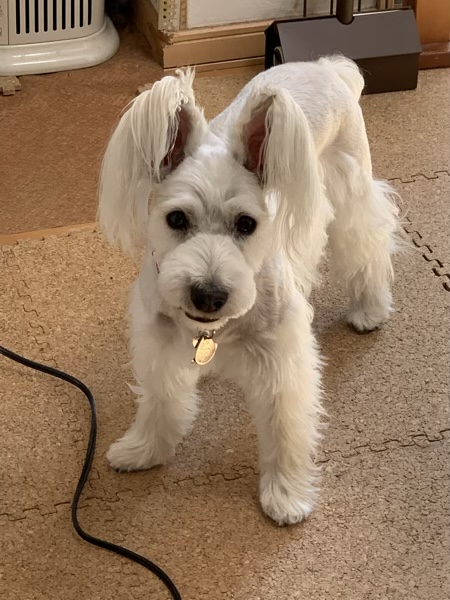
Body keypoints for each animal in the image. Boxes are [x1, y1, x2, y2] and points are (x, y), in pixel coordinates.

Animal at [98, 57, 399, 526]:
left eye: (246, 224)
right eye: (176, 218)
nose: (208, 294)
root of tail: (326, 66)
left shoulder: (282, 362)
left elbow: (284, 428)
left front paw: (286, 494)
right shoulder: (160, 343)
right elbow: (160, 403)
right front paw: (143, 449)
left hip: (350, 191)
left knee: (368, 242)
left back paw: (369, 308)